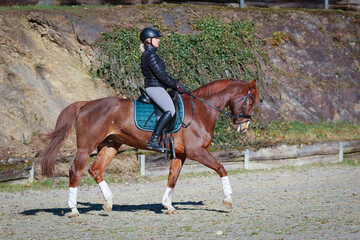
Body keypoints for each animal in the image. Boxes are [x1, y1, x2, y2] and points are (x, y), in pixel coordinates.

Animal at [40, 78, 258, 218]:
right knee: (75, 171)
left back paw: (108, 203)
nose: (243, 127)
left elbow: (172, 178)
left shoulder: (180, 155)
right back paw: (74, 210)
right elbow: (221, 168)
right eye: (251, 101)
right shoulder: (197, 152)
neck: (200, 110)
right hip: (86, 148)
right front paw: (228, 199)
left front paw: (168, 206)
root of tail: (86, 104)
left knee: (96, 170)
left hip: (111, 146)